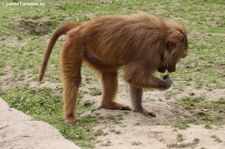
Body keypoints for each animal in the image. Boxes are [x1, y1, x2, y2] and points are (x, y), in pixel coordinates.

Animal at [38, 12, 188, 123]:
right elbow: (134, 77)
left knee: (110, 73)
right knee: (74, 80)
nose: (173, 69)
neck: (162, 36)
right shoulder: (148, 52)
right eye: (180, 57)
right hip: (74, 45)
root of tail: (80, 27)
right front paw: (166, 83)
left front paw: (140, 110)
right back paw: (70, 117)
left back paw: (108, 104)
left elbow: (134, 80)